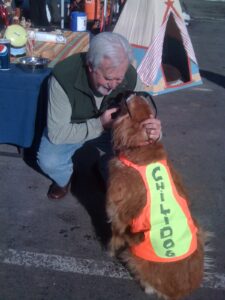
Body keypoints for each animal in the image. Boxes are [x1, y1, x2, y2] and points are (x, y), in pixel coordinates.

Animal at [106, 92, 207, 298]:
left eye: (128, 103)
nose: (130, 92)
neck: (142, 147)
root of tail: (180, 291)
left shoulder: (115, 210)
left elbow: (114, 235)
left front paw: (110, 251)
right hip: (199, 230)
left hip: (134, 255)